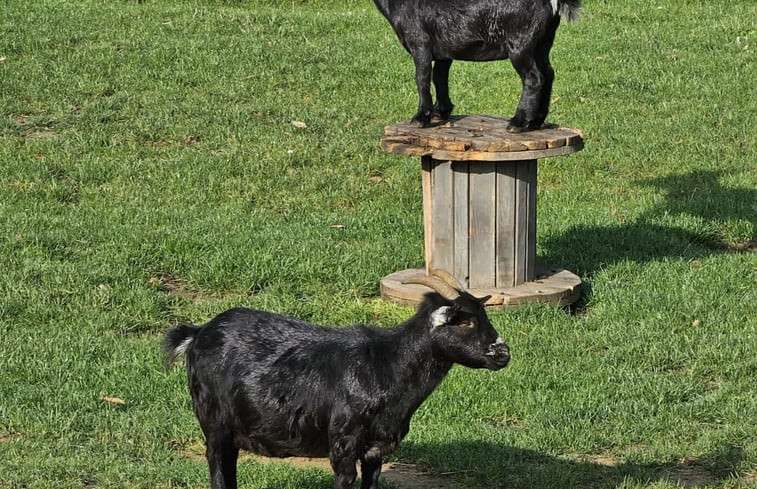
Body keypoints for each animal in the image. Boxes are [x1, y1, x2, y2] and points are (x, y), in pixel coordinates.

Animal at [164, 266, 508, 488]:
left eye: (483, 314)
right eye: (464, 322)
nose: (503, 353)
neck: (386, 365)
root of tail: (197, 333)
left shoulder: (376, 449)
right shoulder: (343, 443)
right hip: (213, 422)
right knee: (218, 467)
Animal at [376, 0, 580, 131]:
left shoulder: (420, 42)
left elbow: (422, 79)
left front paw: (420, 118)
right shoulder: (445, 49)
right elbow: (439, 77)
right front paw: (440, 112)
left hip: (521, 42)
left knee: (534, 78)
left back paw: (518, 122)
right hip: (544, 41)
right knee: (549, 73)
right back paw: (536, 121)